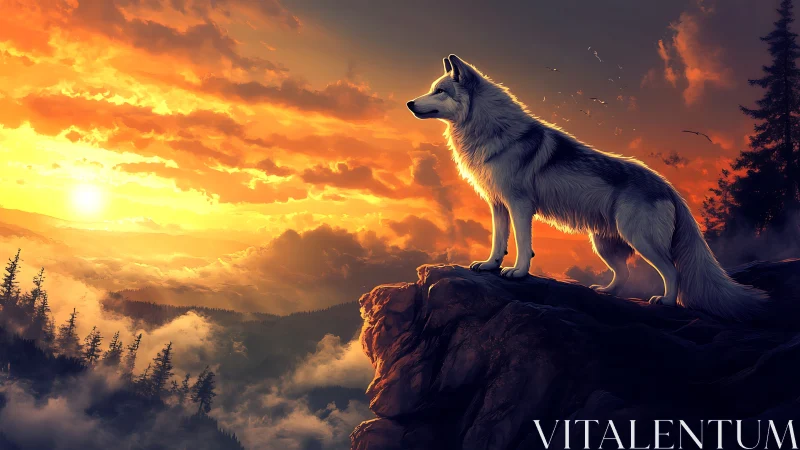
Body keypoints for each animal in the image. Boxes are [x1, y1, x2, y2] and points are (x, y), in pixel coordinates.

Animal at [407, 54, 766, 320]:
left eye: (440, 91)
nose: (410, 103)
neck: (490, 130)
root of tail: (669, 187)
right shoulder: (498, 204)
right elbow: (498, 240)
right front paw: (491, 265)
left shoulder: (520, 205)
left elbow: (522, 244)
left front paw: (518, 273)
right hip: (604, 244)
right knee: (623, 277)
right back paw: (607, 293)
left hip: (640, 240)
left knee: (672, 271)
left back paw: (665, 302)